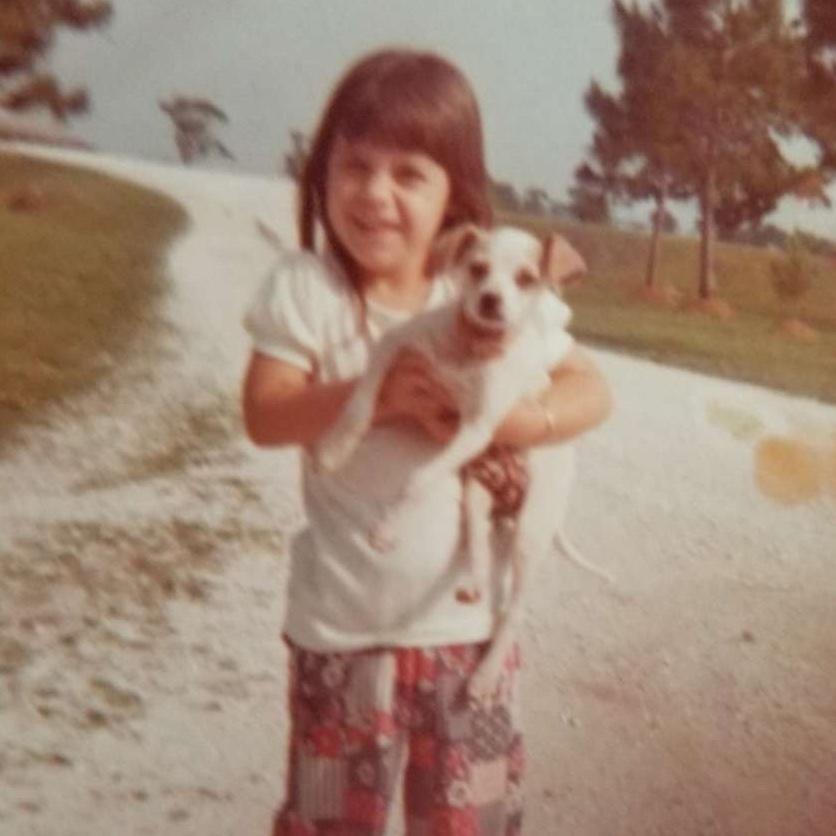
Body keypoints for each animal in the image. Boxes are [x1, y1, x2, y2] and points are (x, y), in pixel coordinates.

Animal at [314, 224, 613, 700]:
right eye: (477, 269)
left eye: (527, 279)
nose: (490, 300)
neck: (471, 348)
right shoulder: (394, 348)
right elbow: (360, 402)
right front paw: (335, 446)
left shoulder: (476, 429)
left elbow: (417, 480)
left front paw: (385, 529)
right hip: (476, 491)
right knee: (477, 542)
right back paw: (473, 584)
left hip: (530, 532)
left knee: (514, 610)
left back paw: (486, 675)